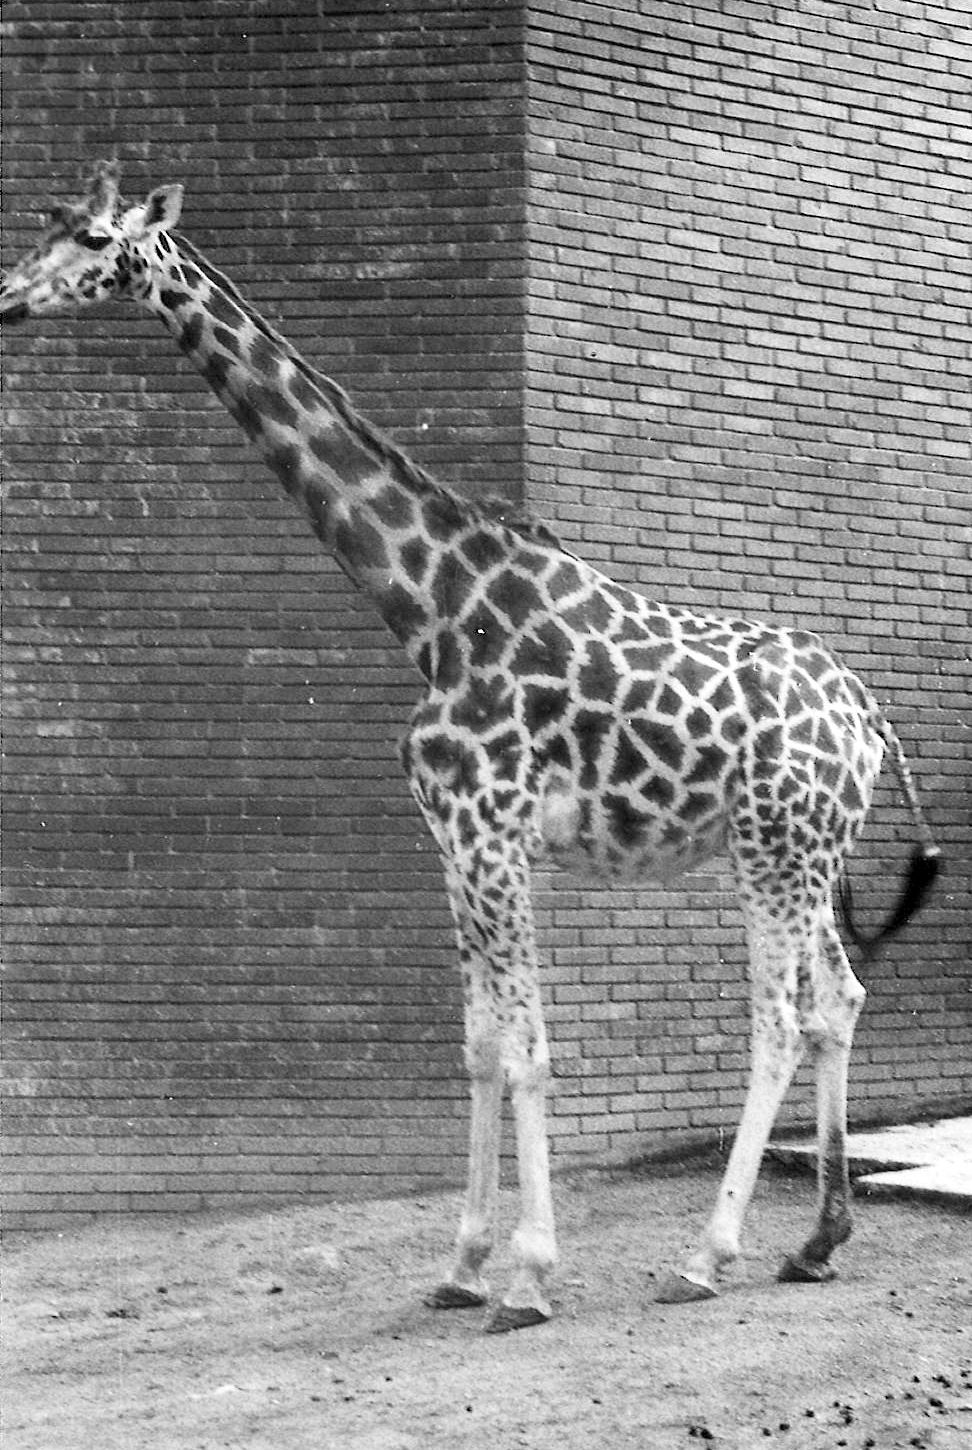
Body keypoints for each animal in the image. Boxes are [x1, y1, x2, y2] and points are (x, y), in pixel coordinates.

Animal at [0, 164, 940, 1331]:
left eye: (92, 238)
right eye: (38, 224)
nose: (6, 297)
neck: (433, 610)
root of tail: (869, 714)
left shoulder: (495, 835)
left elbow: (531, 1049)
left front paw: (530, 1277)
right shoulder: (451, 840)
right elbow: (482, 1045)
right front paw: (461, 1264)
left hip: (776, 849)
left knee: (779, 1016)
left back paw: (706, 1254)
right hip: (801, 853)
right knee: (839, 1000)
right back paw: (816, 1242)